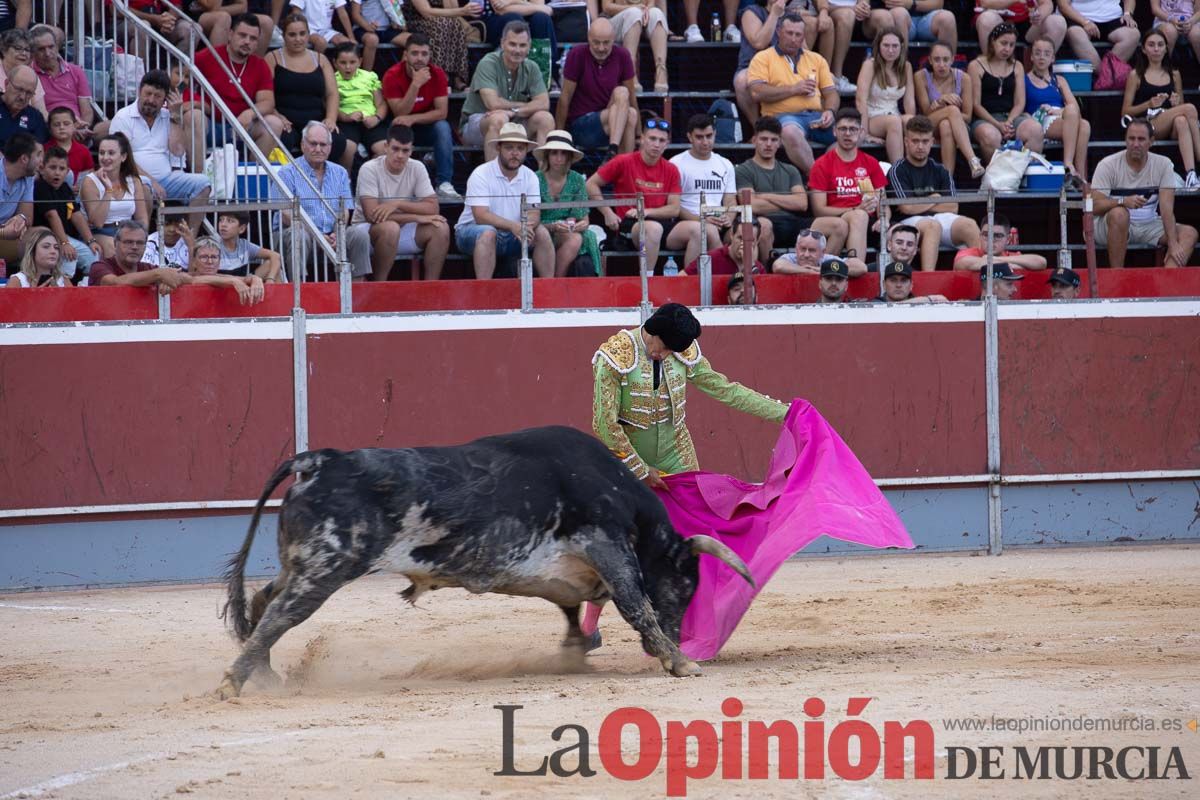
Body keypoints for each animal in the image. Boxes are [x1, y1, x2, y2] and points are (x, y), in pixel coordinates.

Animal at [218, 429, 748, 695]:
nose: (683, 638)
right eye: (686, 585)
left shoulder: (566, 572)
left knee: (263, 602)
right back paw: (233, 681)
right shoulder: (608, 546)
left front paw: (574, 654)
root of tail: (320, 460)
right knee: (281, 615)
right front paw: (678, 662)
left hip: (302, 562)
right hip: (326, 567)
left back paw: (265, 675)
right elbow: (636, 604)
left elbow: (572, 612)